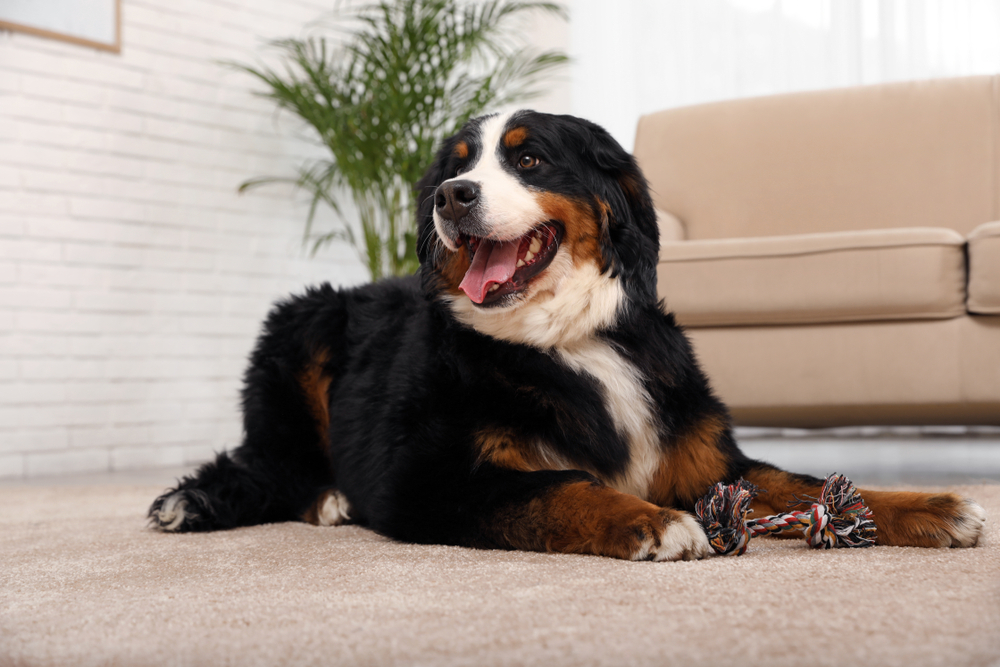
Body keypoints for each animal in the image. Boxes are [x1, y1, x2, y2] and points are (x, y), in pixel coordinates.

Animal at [148, 112, 984, 560]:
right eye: (455, 167)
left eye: (528, 156)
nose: (453, 196)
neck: (572, 340)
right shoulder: (429, 476)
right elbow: (558, 486)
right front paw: (650, 520)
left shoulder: (710, 458)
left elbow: (808, 483)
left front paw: (930, 505)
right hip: (301, 327)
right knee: (273, 465)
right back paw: (307, 498)